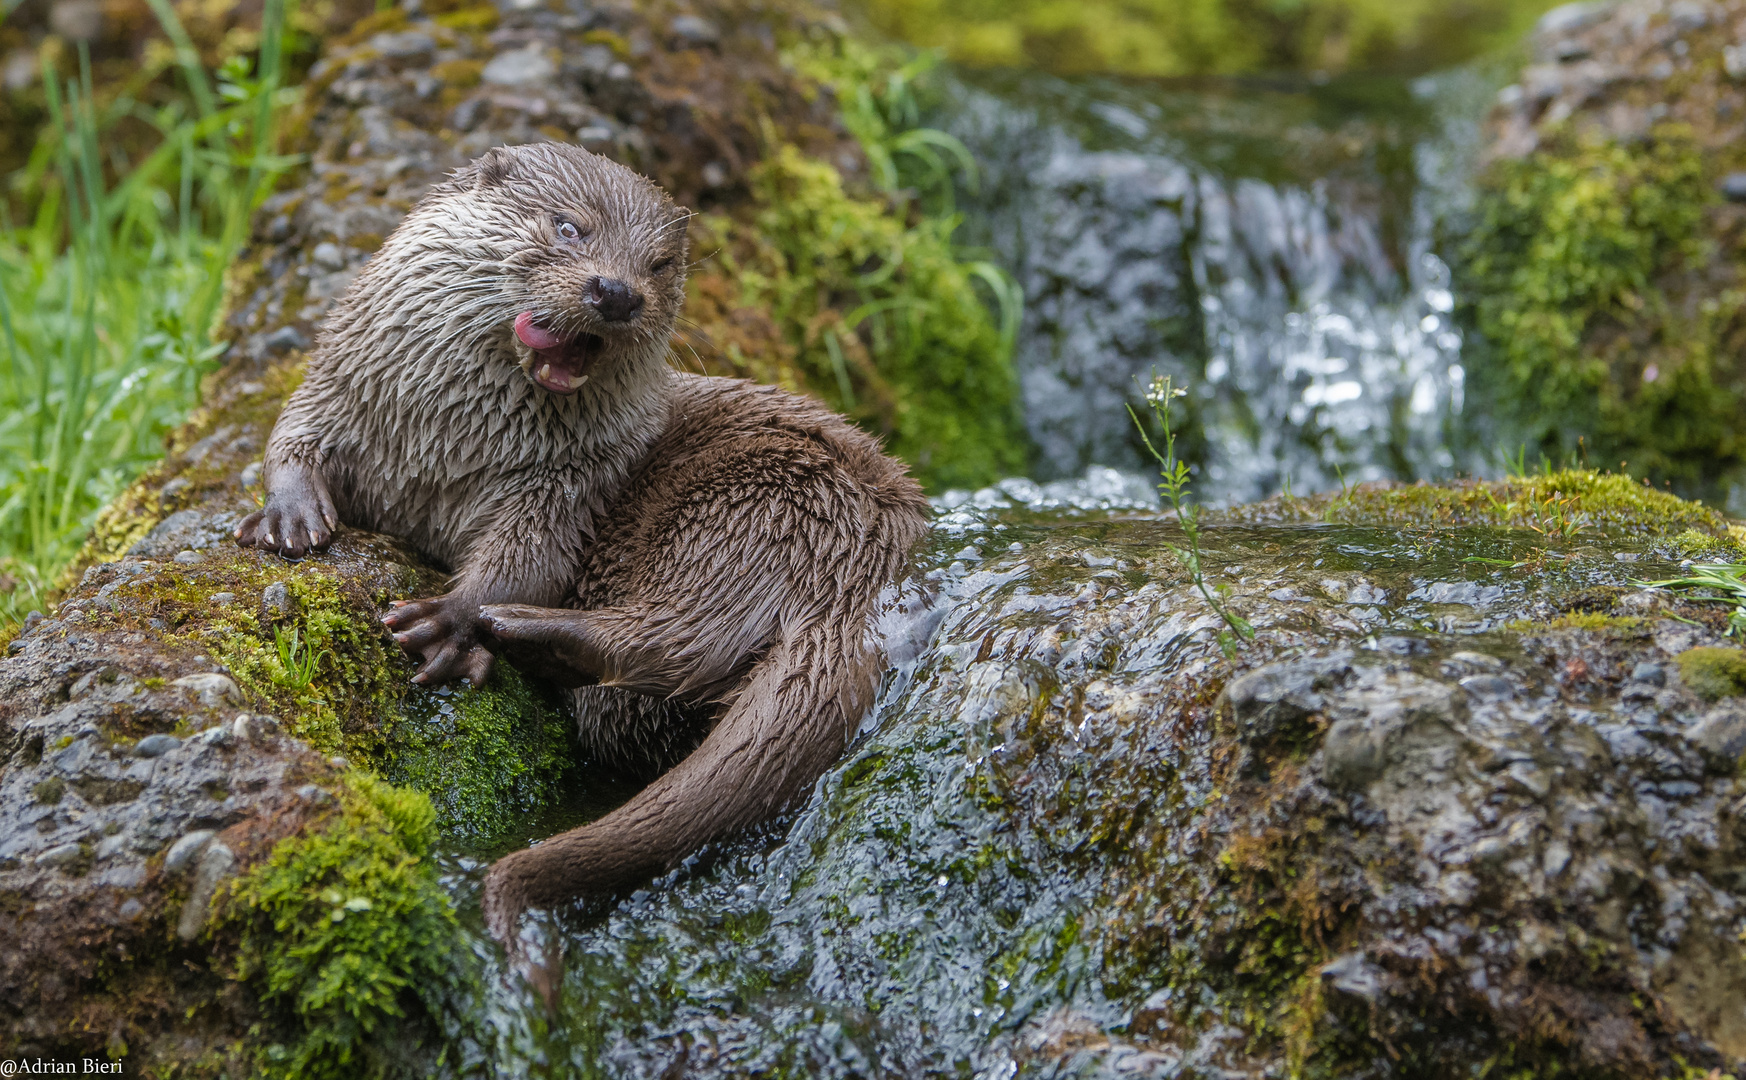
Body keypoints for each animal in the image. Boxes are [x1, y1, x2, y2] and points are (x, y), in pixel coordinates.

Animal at [242, 141, 942, 935]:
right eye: (570, 226)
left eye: (660, 264)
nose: (616, 291)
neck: (443, 448)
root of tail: (873, 568)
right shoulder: (345, 393)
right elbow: (290, 432)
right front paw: (288, 514)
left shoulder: (566, 485)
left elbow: (529, 556)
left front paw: (454, 620)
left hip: (751, 508)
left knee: (678, 639)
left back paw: (513, 629)